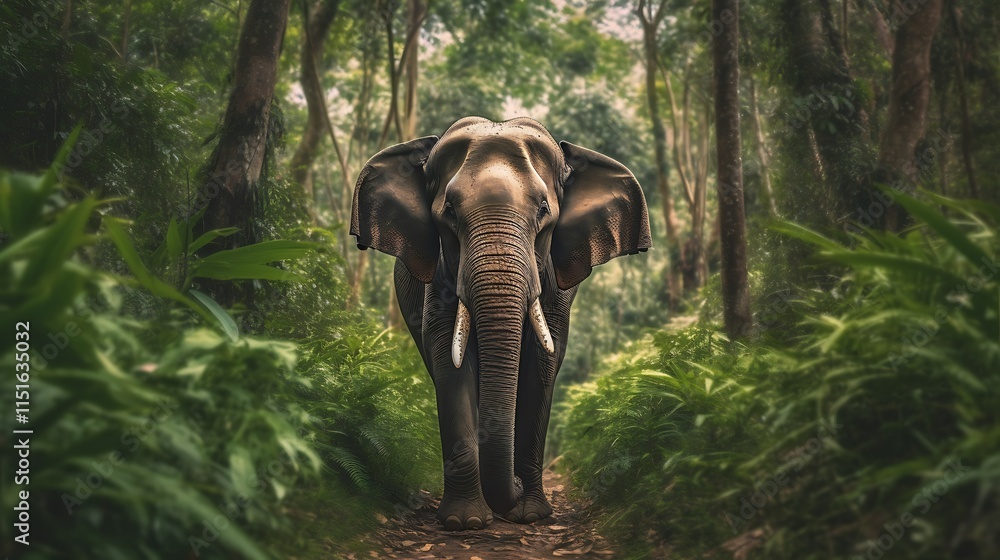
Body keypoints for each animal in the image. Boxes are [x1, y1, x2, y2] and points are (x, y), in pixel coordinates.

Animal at [350, 116, 651, 531]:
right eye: (449, 212)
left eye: (544, 209)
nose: (518, 486)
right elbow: (448, 358)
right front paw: (464, 522)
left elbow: (542, 363)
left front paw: (530, 515)